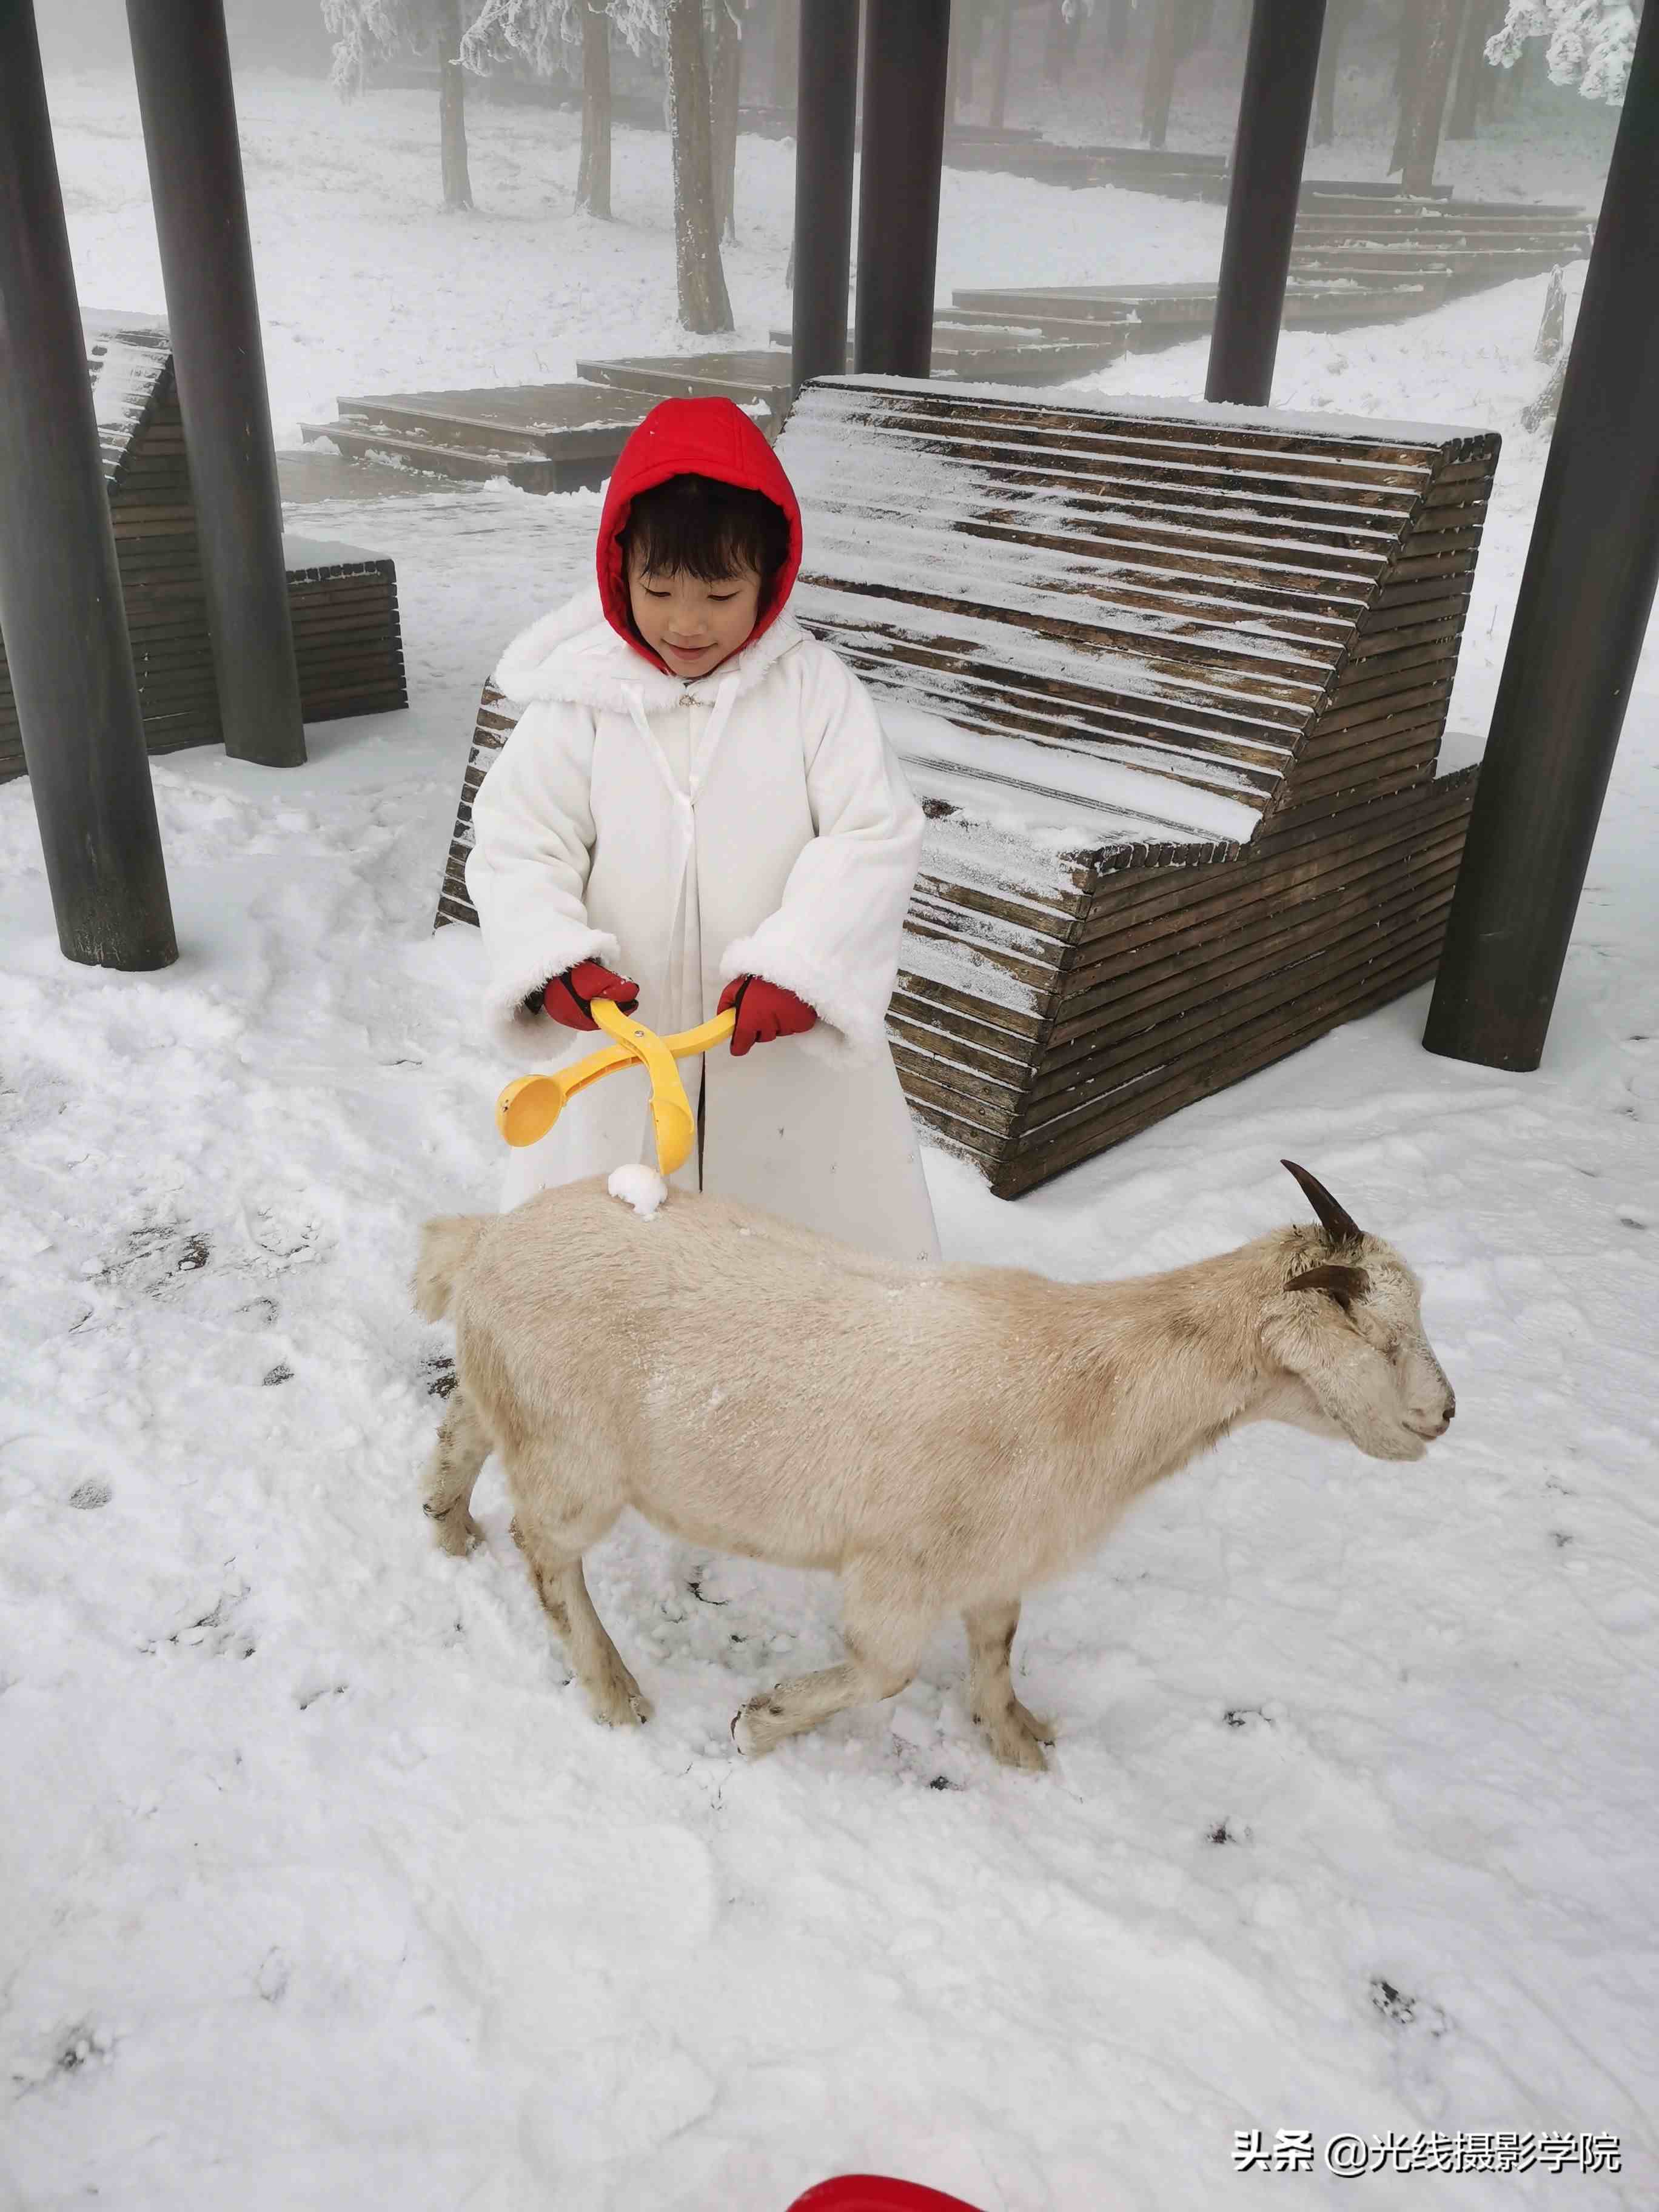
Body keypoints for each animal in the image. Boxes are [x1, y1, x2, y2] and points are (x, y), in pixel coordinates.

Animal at [415, 1168, 1451, 1769]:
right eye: (1385, 1338)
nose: (1443, 1415)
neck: (1096, 1384)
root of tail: (488, 1240)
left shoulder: (996, 1561)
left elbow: (997, 1648)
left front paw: (1017, 1738)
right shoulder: (898, 1571)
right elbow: (884, 1673)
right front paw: (762, 1721)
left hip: (519, 1398)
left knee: (464, 1425)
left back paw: (447, 1523)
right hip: (575, 1457)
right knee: (547, 1553)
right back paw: (614, 1692)